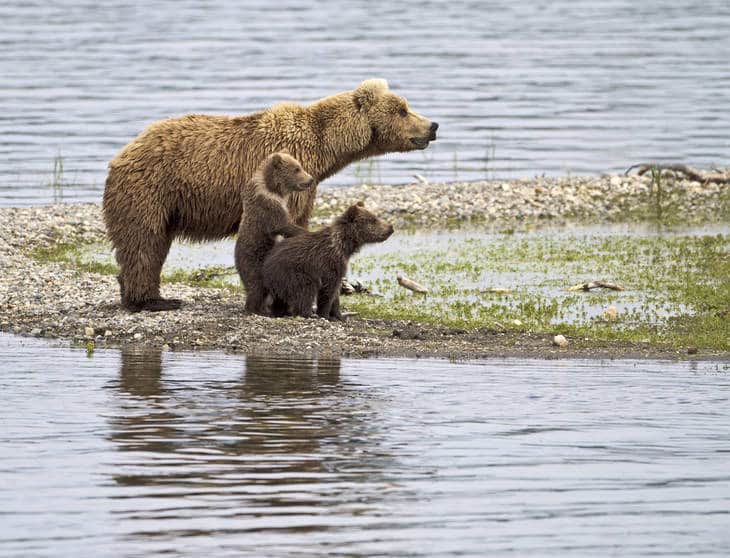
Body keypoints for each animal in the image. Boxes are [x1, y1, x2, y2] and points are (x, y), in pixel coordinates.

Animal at [235, 152, 313, 315]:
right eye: (297, 169)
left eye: (300, 166)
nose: (310, 179)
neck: (274, 188)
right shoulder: (267, 204)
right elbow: (282, 224)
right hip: (254, 260)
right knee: (257, 286)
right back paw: (257, 309)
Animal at [261, 202, 393, 321]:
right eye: (373, 220)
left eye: (375, 217)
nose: (390, 228)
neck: (345, 246)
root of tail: (267, 266)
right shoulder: (330, 263)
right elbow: (328, 291)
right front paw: (325, 314)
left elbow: (335, 293)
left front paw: (339, 315)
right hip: (295, 274)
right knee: (306, 291)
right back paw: (307, 313)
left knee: (280, 300)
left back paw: (281, 312)